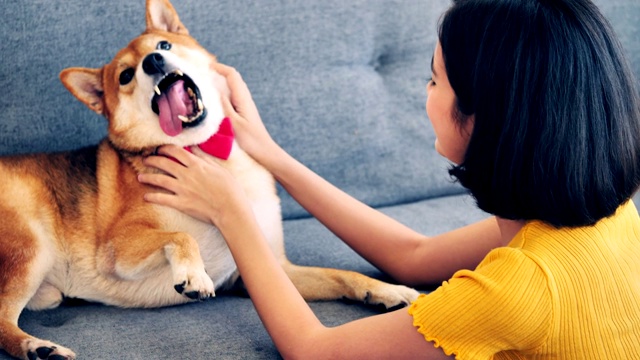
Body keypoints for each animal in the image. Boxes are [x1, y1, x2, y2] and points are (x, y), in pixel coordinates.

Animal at [0, 0, 420, 358]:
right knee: (3, 320)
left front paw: (385, 289)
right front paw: (193, 274)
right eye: (125, 76)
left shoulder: (274, 270)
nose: (154, 61)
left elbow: (342, 274)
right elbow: (180, 236)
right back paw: (37, 347)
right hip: (30, 247)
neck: (210, 154)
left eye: (163, 44)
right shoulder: (116, 251)